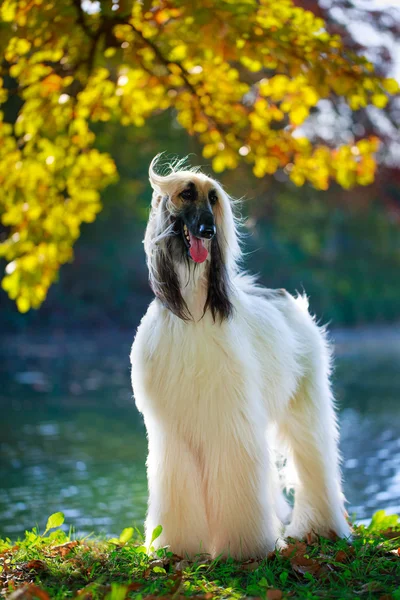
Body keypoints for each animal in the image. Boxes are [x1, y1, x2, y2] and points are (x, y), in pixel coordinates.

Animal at [130, 157, 348, 560]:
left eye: (213, 199)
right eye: (186, 194)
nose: (209, 230)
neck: (193, 308)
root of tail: (284, 297)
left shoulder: (229, 421)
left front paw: (248, 548)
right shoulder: (174, 432)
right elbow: (178, 484)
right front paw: (178, 548)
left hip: (305, 400)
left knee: (314, 458)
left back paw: (319, 528)